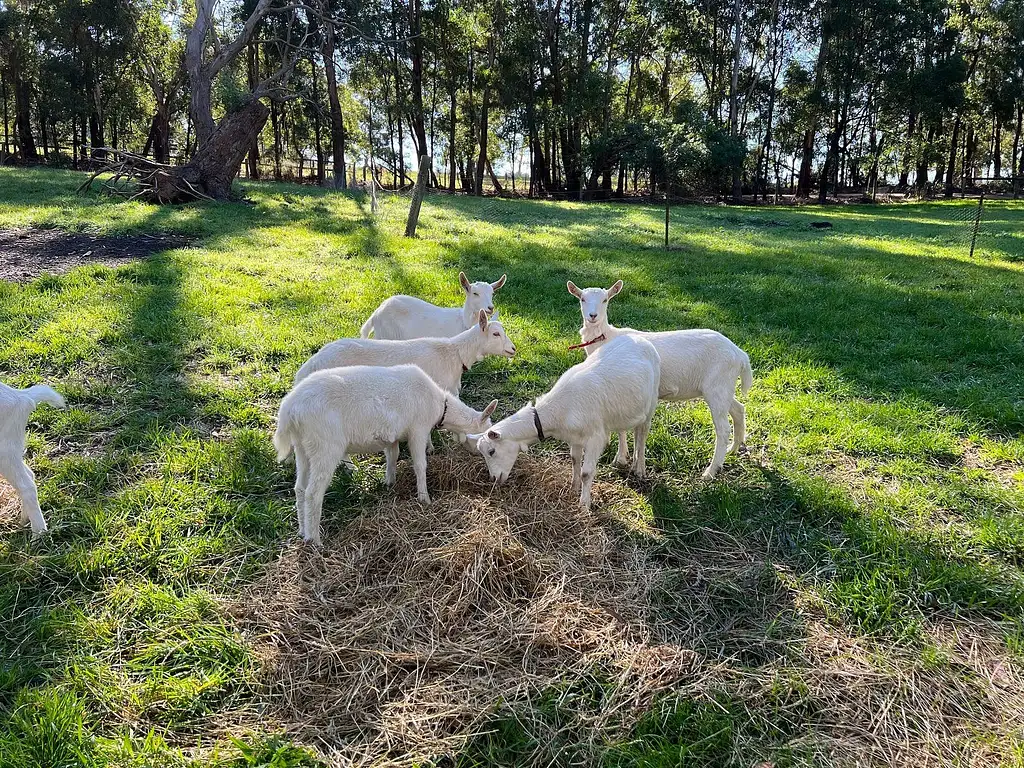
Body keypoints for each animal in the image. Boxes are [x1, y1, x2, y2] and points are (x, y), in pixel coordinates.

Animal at [0, 380, 66, 536]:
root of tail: (23, 397)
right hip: (11, 451)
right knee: (29, 475)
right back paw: (24, 521)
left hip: (5, 452)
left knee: (27, 486)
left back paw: (38, 534)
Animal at [272, 366, 495, 548]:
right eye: (487, 431)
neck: (440, 405)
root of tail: (289, 411)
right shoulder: (418, 429)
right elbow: (420, 464)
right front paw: (425, 498)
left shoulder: (393, 437)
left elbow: (392, 456)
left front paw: (390, 482)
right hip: (324, 446)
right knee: (313, 493)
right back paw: (315, 540)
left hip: (303, 446)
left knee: (300, 488)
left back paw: (302, 531)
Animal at [360, 274, 507, 339]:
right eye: (475, 293)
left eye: (492, 293)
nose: (490, 308)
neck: (463, 321)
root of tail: (376, 313)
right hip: (387, 334)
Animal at [468, 335, 659, 512]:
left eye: (491, 451)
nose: (494, 479)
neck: (559, 410)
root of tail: (641, 339)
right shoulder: (575, 438)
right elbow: (574, 460)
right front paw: (573, 488)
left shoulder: (595, 437)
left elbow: (586, 472)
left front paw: (584, 505)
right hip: (623, 409)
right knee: (626, 430)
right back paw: (623, 459)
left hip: (651, 404)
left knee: (642, 435)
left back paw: (640, 469)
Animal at [569, 280, 753, 479]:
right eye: (582, 298)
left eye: (605, 300)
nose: (592, 316)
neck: (606, 338)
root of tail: (739, 354)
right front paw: (623, 455)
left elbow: (622, 428)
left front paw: (620, 458)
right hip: (723, 387)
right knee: (739, 409)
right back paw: (733, 449)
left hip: (717, 387)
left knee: (723, 429)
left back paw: (710, 471)